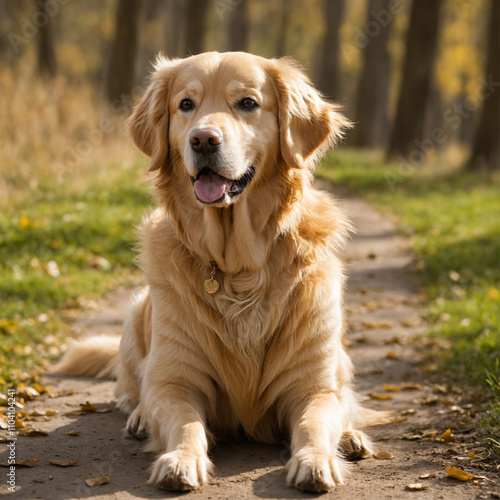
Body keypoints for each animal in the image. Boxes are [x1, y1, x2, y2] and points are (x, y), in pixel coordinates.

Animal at [53, 51, 378, 492]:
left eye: (247, 103)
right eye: (186, 104)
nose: (203, 140)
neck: (237, 267)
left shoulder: (314, 385)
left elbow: (314, 421)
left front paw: (317, 460)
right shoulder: (177, 381)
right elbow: (186, 422)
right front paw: (180, 459)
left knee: (347, 400)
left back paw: (350, 437)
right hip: (137, 313)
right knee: (134, 389)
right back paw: (137, 418)